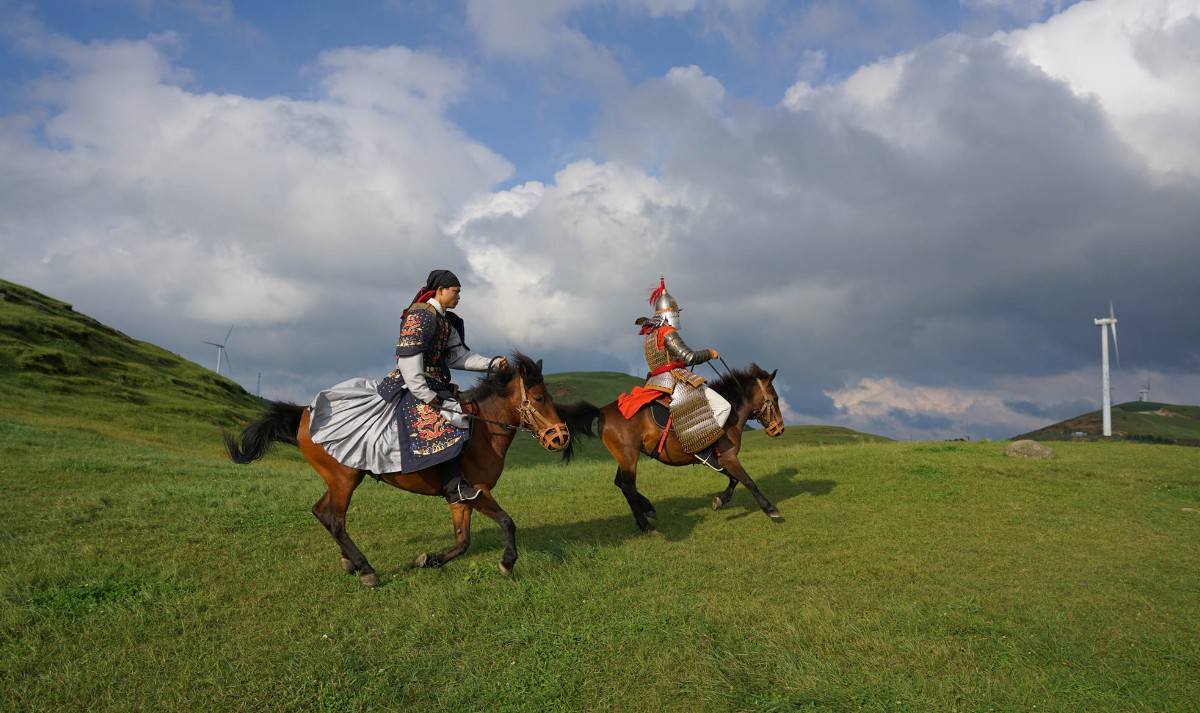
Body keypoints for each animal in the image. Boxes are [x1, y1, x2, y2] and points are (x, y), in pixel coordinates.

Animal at [222, 354, 570, 585]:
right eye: (539, 398)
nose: (561, 437)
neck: (484, 430)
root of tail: (304, 413)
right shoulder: (478, 490)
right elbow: (507, 522)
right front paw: (507, 563)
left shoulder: (461, 497)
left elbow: (462, 542)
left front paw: (428, 560)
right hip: (344, 479)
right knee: (335, 519)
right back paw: (367, 570)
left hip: (339, 479)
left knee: (321, 511)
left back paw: (350, 562)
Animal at [557, 363, 786, 532]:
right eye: (774, 399)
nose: (779, 429)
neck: (729, 416)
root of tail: (602, 411)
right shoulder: (728, 458)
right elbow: (748, 481)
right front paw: (770, 508)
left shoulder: (721, 460)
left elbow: (735, 480)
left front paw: (720, 500)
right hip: (629, 456)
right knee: (628, 486)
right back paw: (646, 525)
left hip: (624, 456)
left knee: (620, 483)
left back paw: (648, 510)